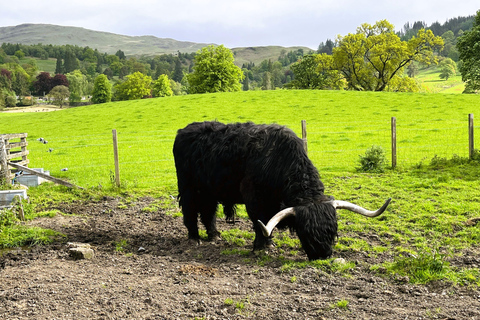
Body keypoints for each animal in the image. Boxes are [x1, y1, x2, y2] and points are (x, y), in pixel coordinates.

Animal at [172, 120, 390, 260]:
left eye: (333, 230)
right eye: (305, 232)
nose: (323, 256)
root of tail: (185, 130)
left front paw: (268, 243)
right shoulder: (254, 198)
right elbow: (260, 223)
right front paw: (262, 247)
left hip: (209, 190)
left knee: (208, 212)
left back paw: (214, 236)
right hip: (189, 188)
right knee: (190, 211)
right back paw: (195, 239)